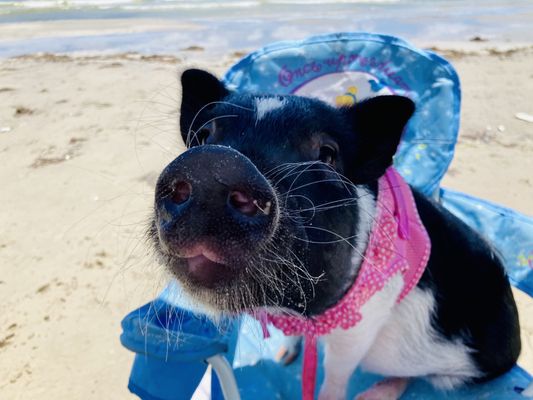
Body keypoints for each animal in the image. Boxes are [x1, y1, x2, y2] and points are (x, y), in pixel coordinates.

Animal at [149, 69, 520, 400]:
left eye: (327, 154)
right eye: (204, 136)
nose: (214, 165)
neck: (296, 309)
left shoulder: (359, 325)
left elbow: (335, 378)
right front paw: (284, 358)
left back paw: (374, 394)